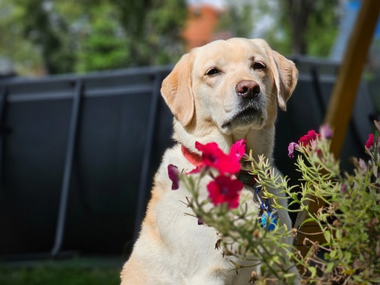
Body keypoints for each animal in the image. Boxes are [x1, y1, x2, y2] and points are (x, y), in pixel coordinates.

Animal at [120, 38, 298, 284]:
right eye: (213, 72)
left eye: (258, 66)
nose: (249, 88)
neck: (239, 175)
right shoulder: (207, 274)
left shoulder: (284, 267)